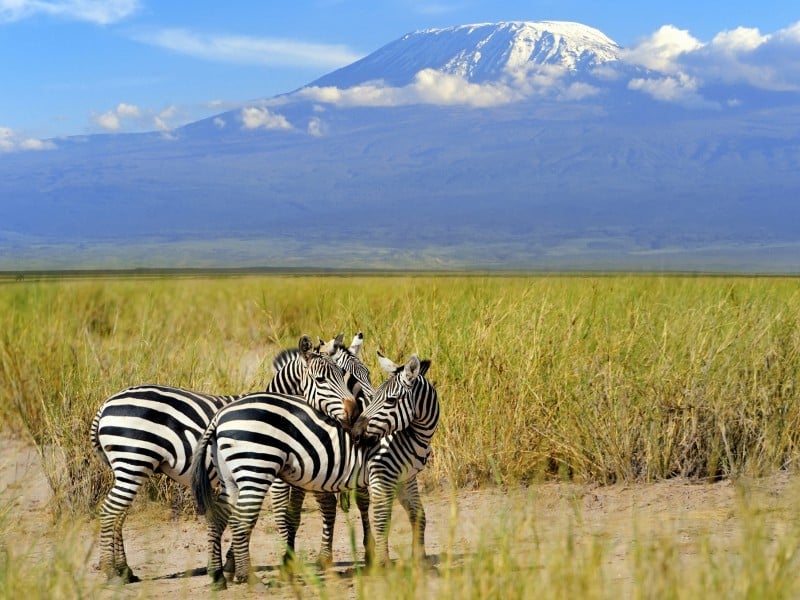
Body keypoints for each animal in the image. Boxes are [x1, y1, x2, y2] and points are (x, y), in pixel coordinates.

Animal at [89, 335, 356, 583]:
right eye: (322, 380)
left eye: (344, 377)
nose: (354, 413)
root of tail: (106, 404)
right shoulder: (269, 472)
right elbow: (277, 516)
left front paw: (230, 564)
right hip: (133, 461)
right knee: (111, 511)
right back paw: (112, 571)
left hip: (130, 467)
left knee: (119, 514)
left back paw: (124, 570)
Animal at [192, 352, 440, 589]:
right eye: (383, 398)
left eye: (390, 400)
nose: (356, 433)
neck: (411, 435)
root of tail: (220, 415)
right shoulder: (382, 473)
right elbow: (381, 519)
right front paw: (383, 565)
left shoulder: (407, 478)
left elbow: (419, 516)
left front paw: (420, 561)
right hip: (256, 469)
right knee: (241, 521)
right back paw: (248, 578)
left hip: (231, 477)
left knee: (219, 518)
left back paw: (218, 577)